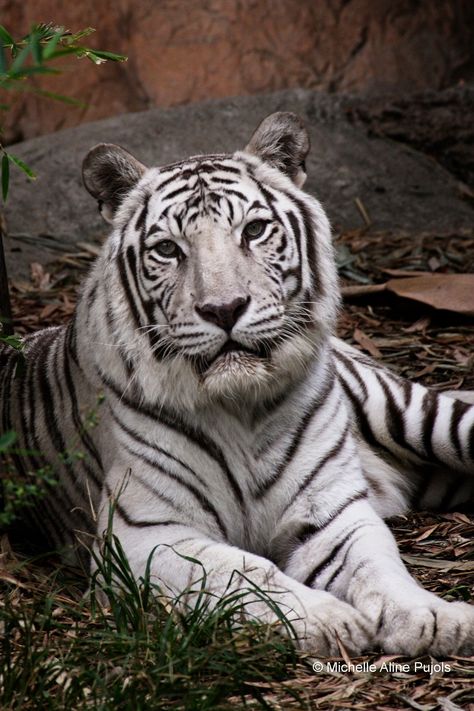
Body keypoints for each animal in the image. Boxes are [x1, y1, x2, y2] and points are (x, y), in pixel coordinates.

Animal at [0, 111, 474, 656]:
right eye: (168, 249)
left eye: (254, 230)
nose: (224, 309)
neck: (240, 406)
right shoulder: (145, 532)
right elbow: (246, 569)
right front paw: (329, 619)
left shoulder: (333, 513)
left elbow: (379, 565)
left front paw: (432, 617)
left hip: (411, 413)